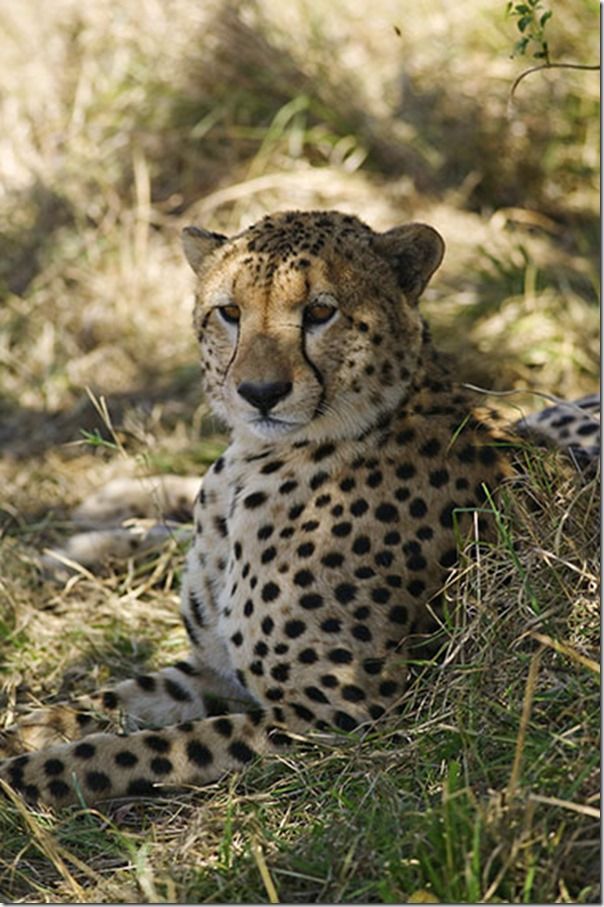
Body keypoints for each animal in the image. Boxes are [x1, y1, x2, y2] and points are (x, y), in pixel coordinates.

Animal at [0, 213, 596, 808]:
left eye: (319, 312)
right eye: (230, 312)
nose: (261, 392)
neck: (253, 467)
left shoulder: (344, 716)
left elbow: (131, 750)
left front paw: (25, 774)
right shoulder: (213, 671)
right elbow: (105, 702)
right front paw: (24, 732)